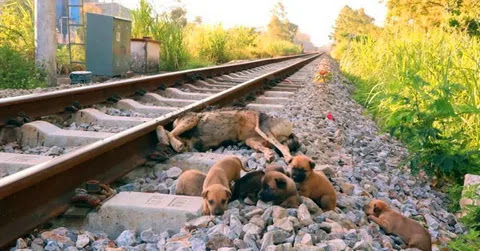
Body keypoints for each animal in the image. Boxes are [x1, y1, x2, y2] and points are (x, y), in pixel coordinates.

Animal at [156, 109, 298, 162]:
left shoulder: (191, 118)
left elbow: (165, 130)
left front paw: (172, 143)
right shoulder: (189, 143)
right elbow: (162, 128)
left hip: (262, 128)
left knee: (283, 147)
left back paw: (288, 158)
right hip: (252, 140)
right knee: (269, 147)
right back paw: (269, 155)